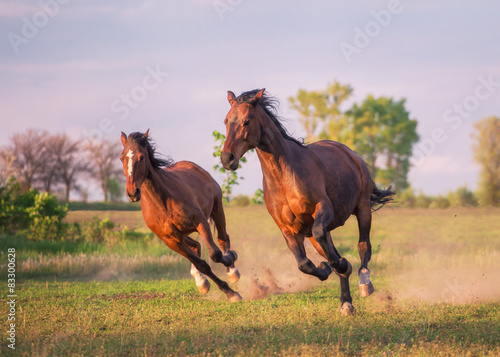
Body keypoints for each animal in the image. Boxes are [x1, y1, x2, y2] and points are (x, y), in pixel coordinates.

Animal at [119, 129, 240, 298]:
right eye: (122, 158)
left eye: (141, 157)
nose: (132, 192)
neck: (163, 203)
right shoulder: (170, 240)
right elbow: (202, 264)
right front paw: (227, 291)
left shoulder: (200, 222)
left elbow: (215, 254)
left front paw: (230, 269)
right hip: (182, 235)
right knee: (197, 246)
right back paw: (201, 281)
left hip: (217, 208)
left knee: (223, 238)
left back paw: (232, 271)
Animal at [221, 89, 392, 314]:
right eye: (226, 121)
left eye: (246, 121)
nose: (227, 159)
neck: (284, 177)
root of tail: (351, 154)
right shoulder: (288, 229)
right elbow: (304, 264)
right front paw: (327, 268)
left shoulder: (323, 209)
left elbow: (332, 247)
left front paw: (342, 265)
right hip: (316, 235)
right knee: (331, 250)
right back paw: (346, 303)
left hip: (363, 208)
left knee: (364, 245)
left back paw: (364, 282)